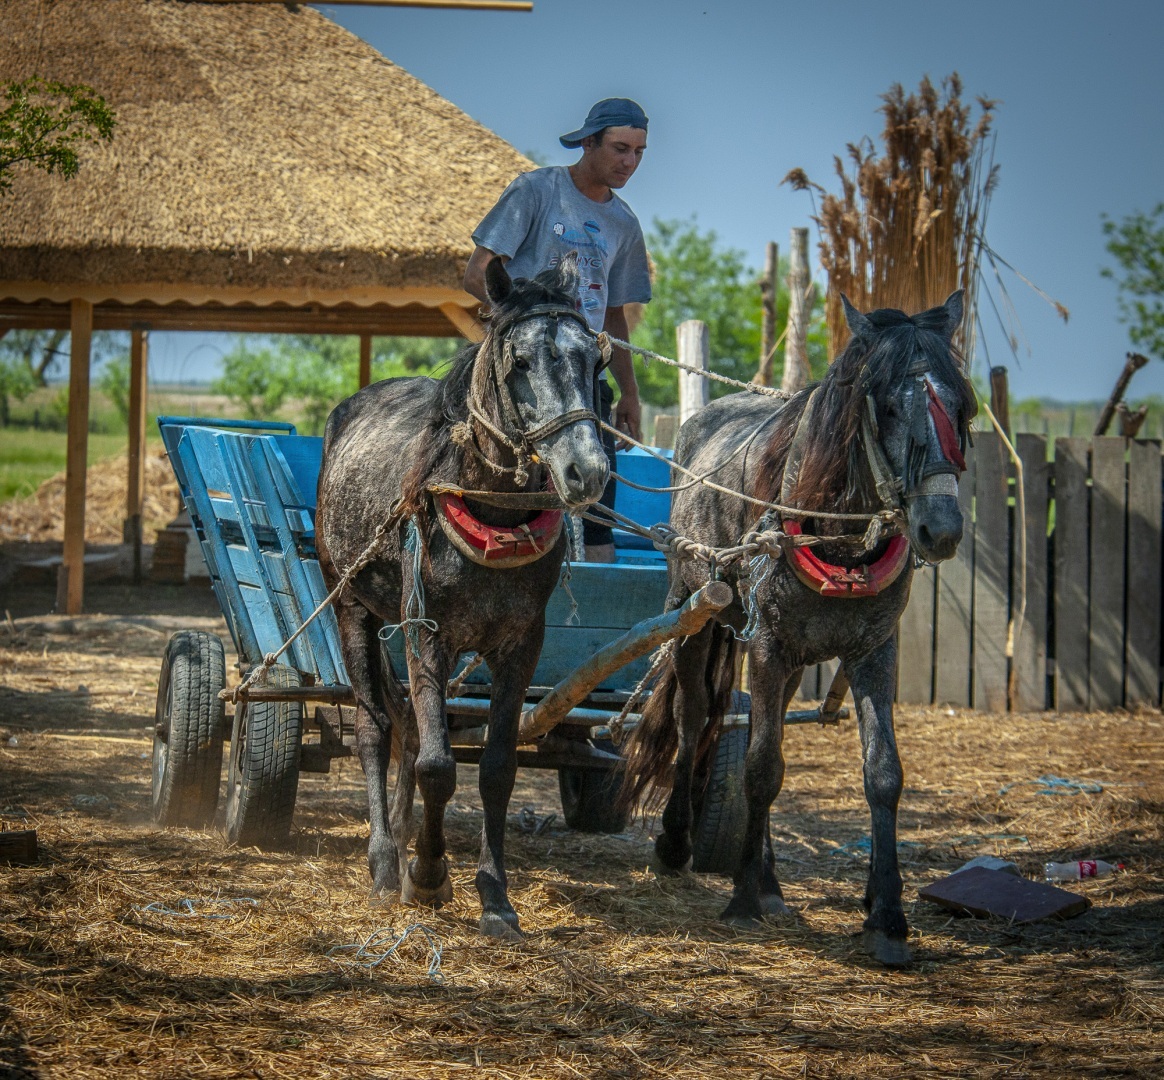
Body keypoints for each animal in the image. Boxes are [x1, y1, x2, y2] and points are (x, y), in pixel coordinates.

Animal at [318, 257, 609, 940]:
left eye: (593, 360)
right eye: (520, 362)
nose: (587, 471)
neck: (486, 506)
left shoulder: (521, 645)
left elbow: (496, 767)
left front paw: (494, 895)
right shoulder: (428, 635)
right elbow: (437, 765)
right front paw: (426, 876)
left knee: (403, 722)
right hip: (351, 608)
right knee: (375, 728)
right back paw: (384, 861)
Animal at [623, 290, 977, 968]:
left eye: (962, 406)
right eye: (887, 405)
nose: (942, 529)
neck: (835, 534)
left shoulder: (874, 651)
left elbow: (882, 773)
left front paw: (886, 917)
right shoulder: (767, 644)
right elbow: (761, 766)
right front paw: (740, 901)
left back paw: (768, 880)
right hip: (694, 614)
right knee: (693, 717)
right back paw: (680, 843)